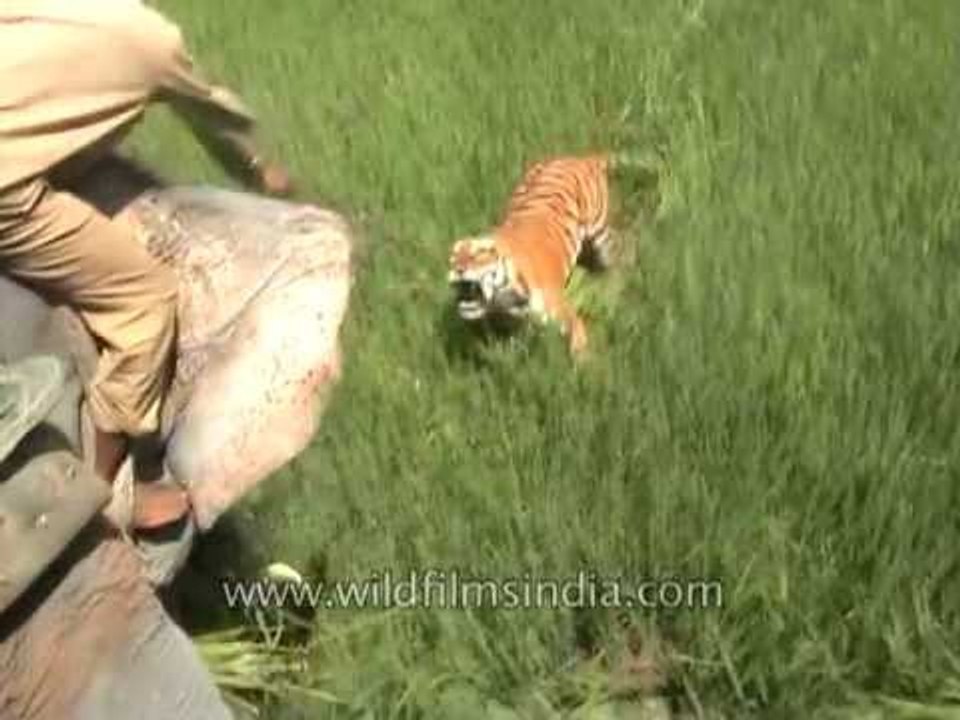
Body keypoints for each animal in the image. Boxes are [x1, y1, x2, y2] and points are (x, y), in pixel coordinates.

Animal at [447, 151, 658, 356]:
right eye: (453, 259)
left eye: (477, 255)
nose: (457, 270)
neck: (505, 297)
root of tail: (581, 158)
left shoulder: (569, 318)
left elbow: (579, 352)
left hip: (600, 235)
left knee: (620, 252)